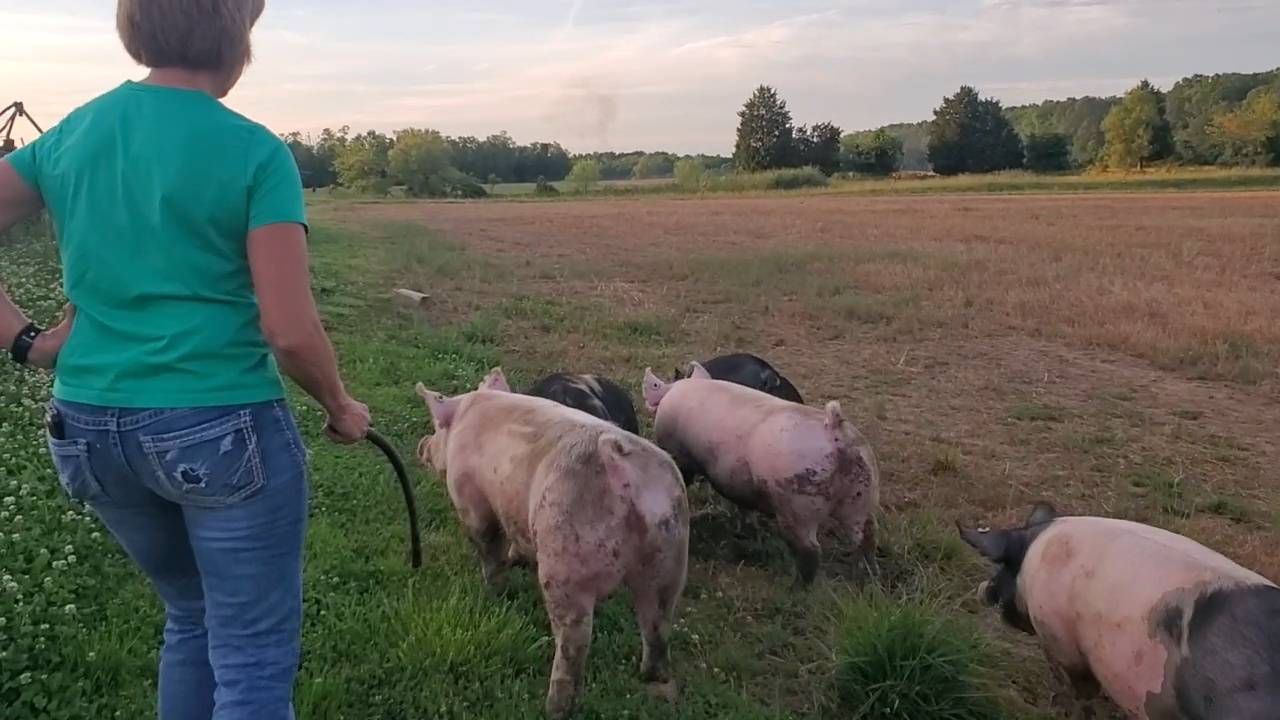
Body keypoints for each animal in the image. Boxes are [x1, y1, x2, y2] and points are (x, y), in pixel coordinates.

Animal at [417, 368, 690, 718]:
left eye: (436, 427)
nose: (421, 446)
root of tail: (621, 464)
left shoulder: (473, 500)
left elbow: (489, 547)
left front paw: (494, 591)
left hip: (567, 559)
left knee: (572, 644)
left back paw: (553, 708)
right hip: (670, 553)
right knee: (657, 625)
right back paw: (654, 681)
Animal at [642, 362, 878, 586]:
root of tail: (835, 429)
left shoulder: (680, 455)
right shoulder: (737, 481)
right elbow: (743, 506)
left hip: (797, 504)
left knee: (811, 551)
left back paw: (794, 588)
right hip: (862, 495)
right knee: (866, 536)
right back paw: (865, 577)